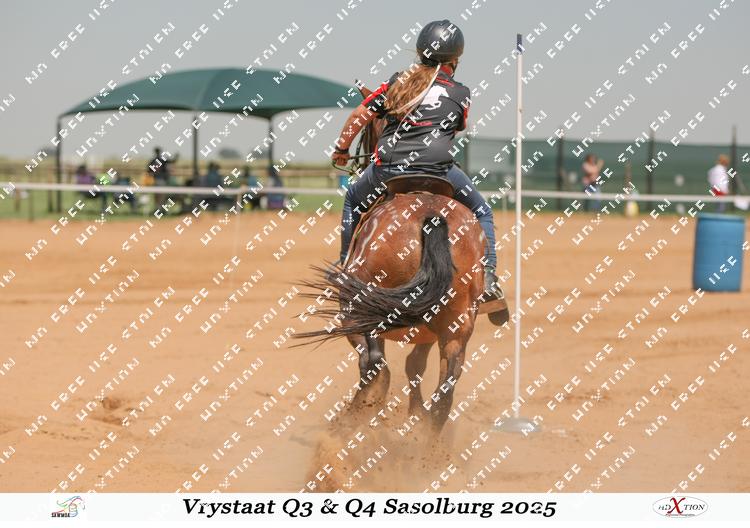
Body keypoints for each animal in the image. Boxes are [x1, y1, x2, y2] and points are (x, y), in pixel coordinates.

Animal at [295, 83, 501, 434]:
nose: (349, 156)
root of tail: (431, 217)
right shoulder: (427, 331)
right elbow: (414, 365)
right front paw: (415, 414)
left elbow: (378, 365)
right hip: (456, 324)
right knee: (447, 385)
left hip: (366, 310)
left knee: (376, 366)